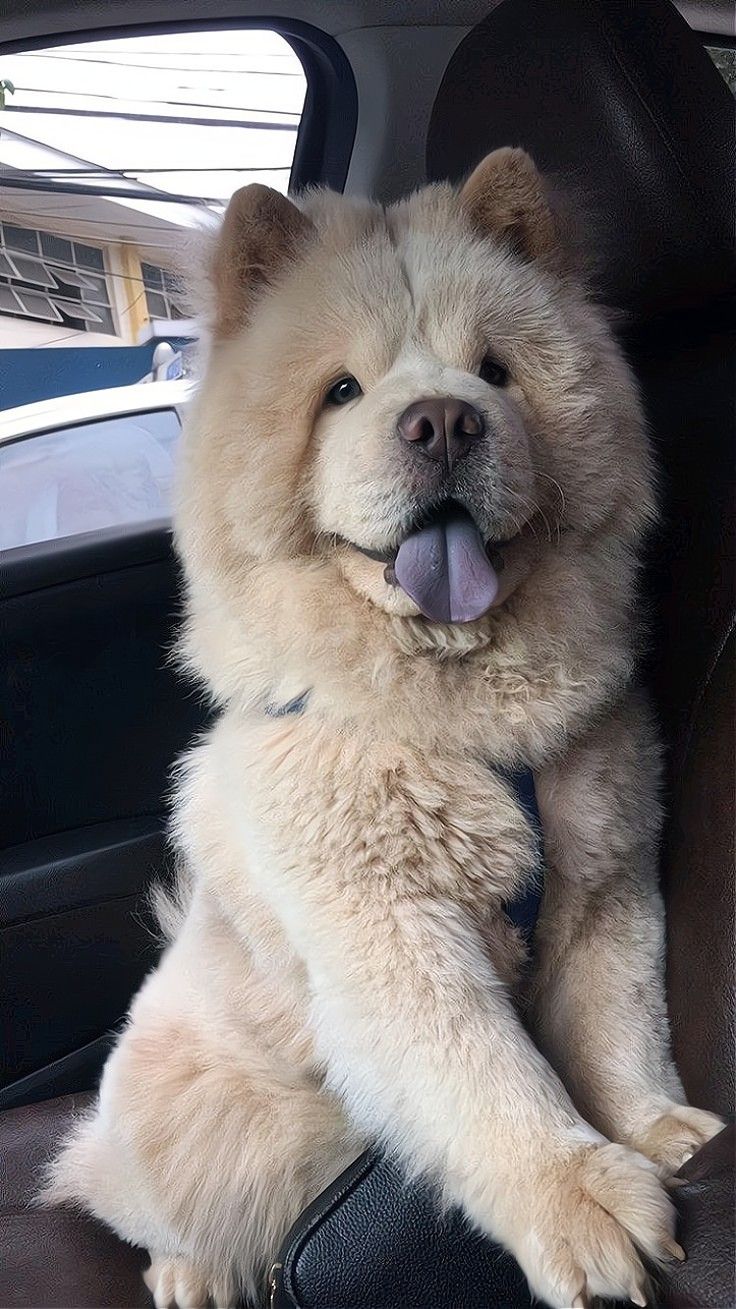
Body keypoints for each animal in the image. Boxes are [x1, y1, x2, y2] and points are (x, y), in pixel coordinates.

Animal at [48, 148, 717, 1303]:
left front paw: (659, 1135)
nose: (443, 420)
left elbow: (619, 1030)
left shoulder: (605, 886)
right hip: (195, 1112)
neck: (466, 723)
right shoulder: (391, 931)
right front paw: (583, 1204)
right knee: (155, 1202)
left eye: (495, 373)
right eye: (342, 392)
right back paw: (192, 1270)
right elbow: (491, 1075)